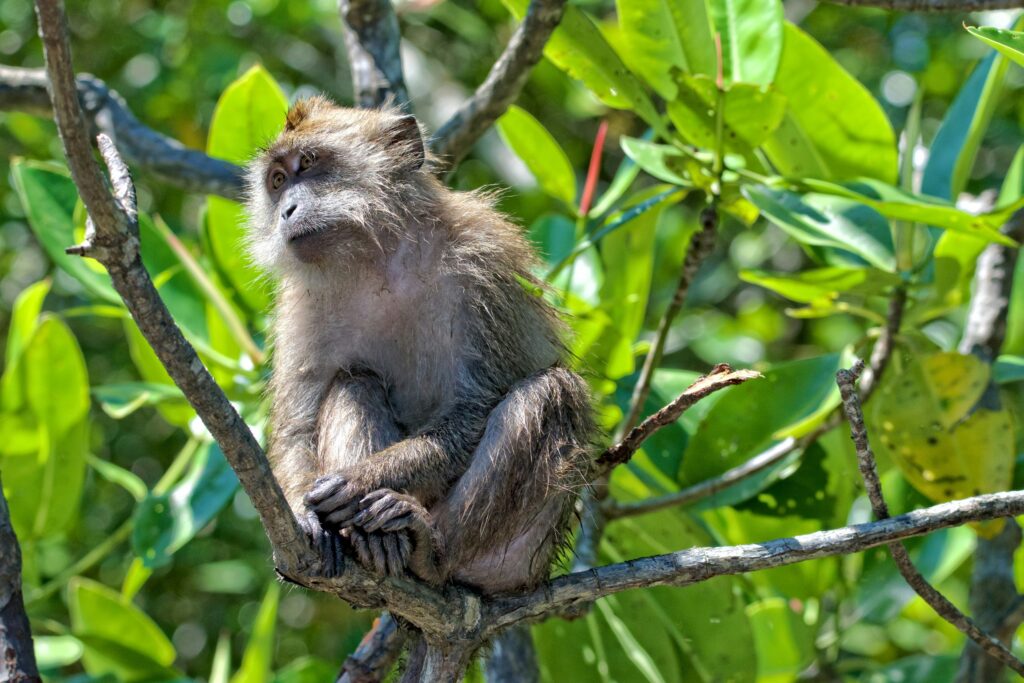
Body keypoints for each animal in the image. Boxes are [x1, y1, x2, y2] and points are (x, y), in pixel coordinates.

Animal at [245, 96, 593, 598]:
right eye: (276, 181)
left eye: (308, 165)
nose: (287, 209)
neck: (380, 258)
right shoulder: (299, 304)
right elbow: (298, 425)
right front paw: (305, 511)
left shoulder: (481, 260)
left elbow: (474, 408)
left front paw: (359, 481)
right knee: (354, 381)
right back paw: (372, 540)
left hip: (524, 553)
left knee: (554, 394)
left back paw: (432, 551)